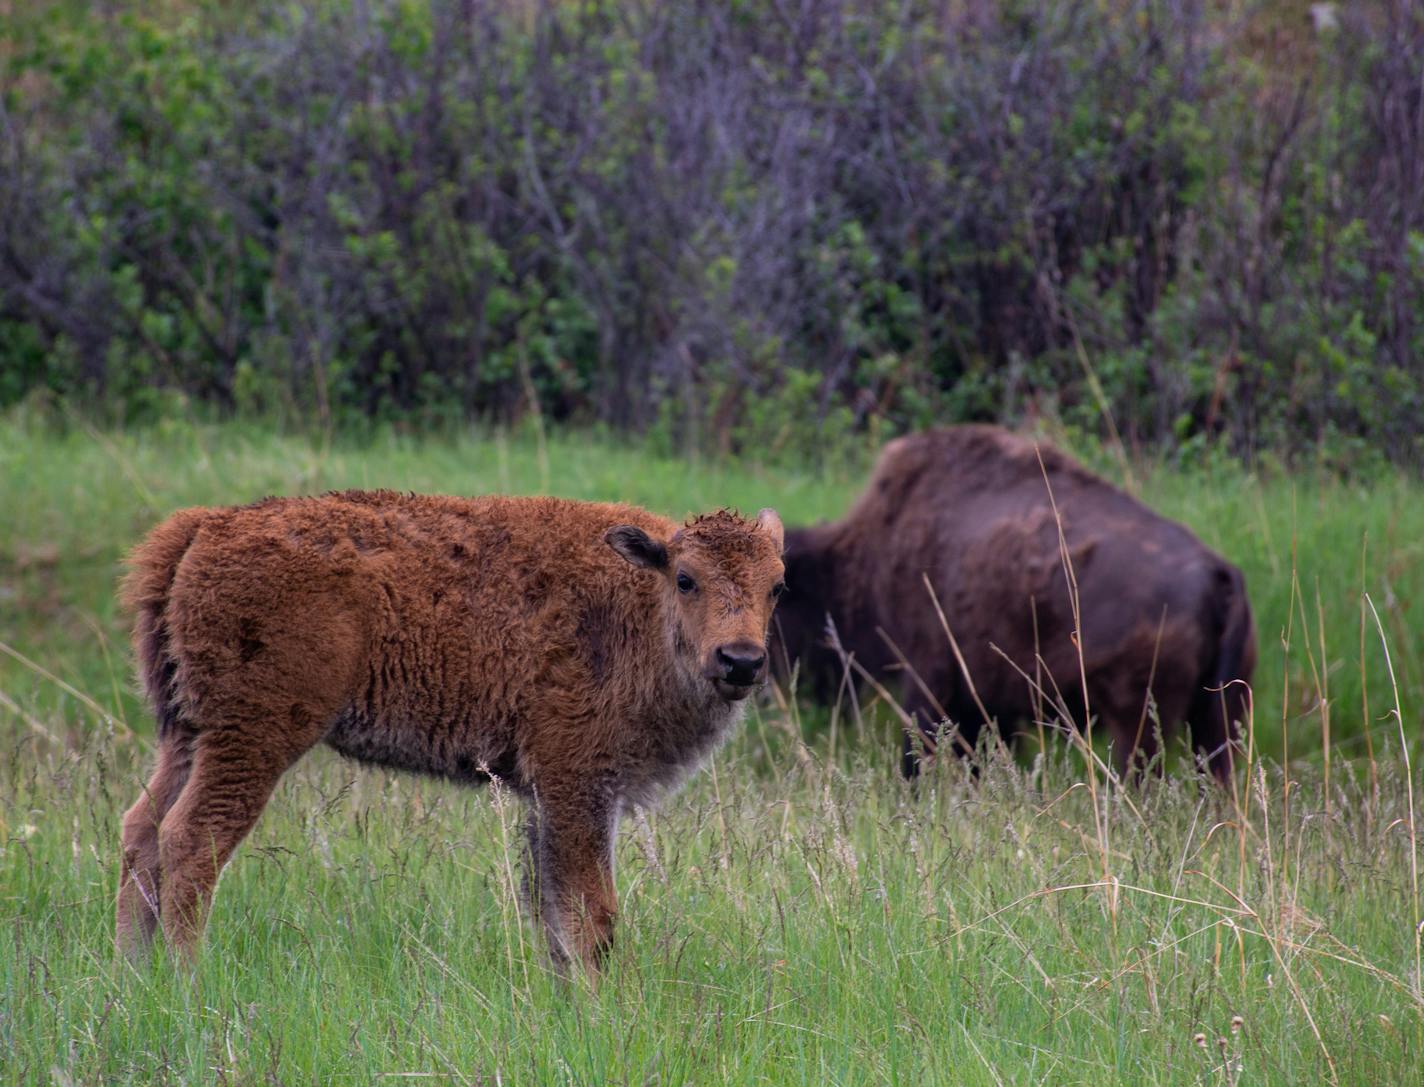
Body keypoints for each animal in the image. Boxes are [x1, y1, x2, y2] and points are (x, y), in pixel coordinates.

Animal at [119, 492, 791, 968]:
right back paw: (186, 976)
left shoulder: (548, 800)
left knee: (142, 829)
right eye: (686, 578)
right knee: (191, 839)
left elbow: (551, 913)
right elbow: (591, 917)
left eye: (777, 586)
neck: (639, 607)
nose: (741, 661)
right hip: (252, 737)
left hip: (186, 732)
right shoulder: (578, 785)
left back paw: (132, 973)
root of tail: (209, 525)